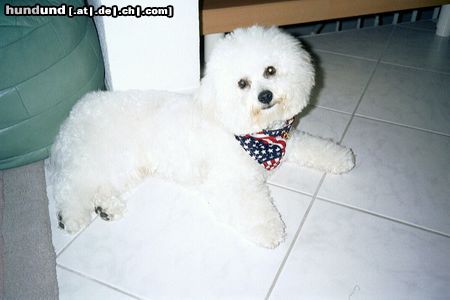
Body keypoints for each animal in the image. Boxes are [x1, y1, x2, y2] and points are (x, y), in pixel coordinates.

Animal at [45, 26, 356, 248]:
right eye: (242, 83)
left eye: (270, 70)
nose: (265, 96)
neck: (256, 135)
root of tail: (73, 115)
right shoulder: (228, 182)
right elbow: (254, 209)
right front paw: (269, 230)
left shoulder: (288, 143)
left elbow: (316, 148)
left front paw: (341, 158)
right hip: (100, 159)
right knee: (69, 187)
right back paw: (71, 217)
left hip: (124, 168)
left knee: (96, 188)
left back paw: (106, 208)